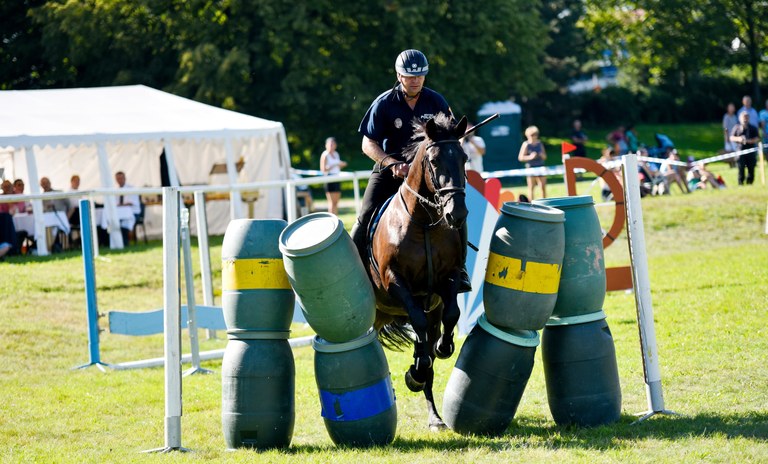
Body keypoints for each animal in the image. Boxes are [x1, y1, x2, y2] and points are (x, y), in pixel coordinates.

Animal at [366, 112, 468, 432]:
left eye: (464, 157)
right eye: (434, 161)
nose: (457, 214)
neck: (423, 221)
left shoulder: (448, 278)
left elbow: (450, 316)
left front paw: (441, 349)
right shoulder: (395, 281)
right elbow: (418, 322)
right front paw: (416, 370)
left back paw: (435, 416)